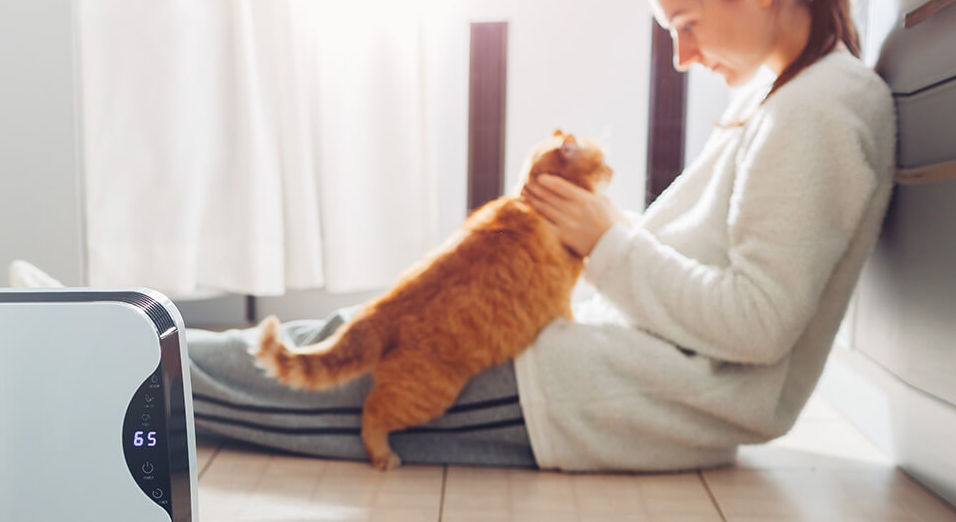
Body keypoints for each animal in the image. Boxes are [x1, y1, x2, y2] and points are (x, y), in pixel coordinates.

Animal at [254, 129, 612, 468]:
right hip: (429, 395)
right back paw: (383, 456)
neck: (528, 201)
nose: (614, 171)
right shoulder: (562, 302)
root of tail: (379, 310)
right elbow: (570, 315)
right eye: (603, 160)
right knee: (371, 412)